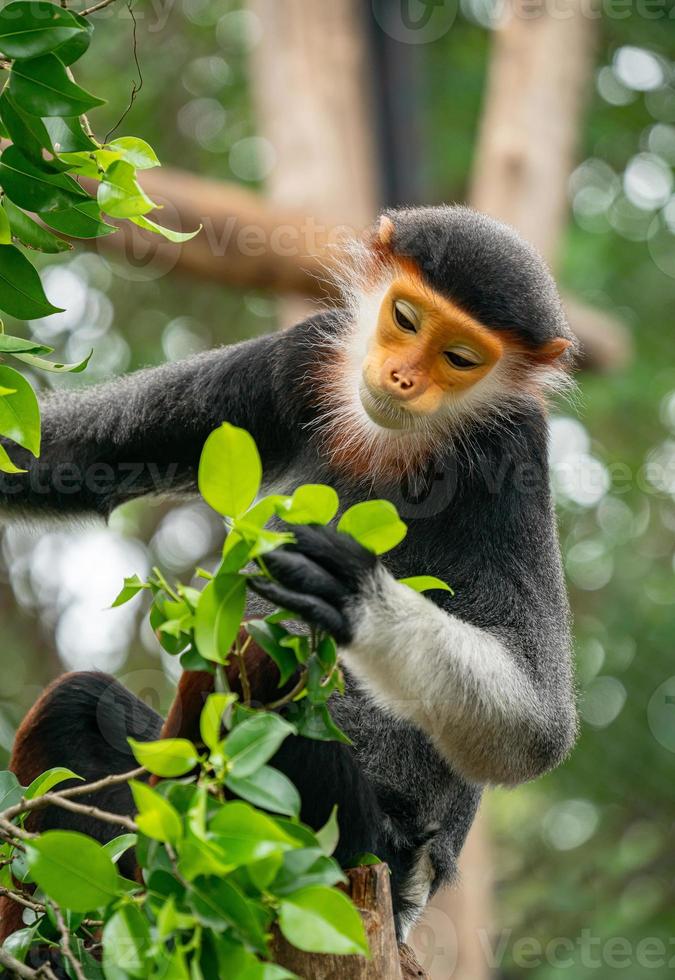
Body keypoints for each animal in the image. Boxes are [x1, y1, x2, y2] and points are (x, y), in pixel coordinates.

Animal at [0, 205, 580, 940]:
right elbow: (71, 457)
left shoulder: (512, 445)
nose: (402, 377)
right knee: (77, 705)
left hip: (346, 843)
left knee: (260, 665)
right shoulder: (305, 352)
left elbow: (538, 727)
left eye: (459, 358)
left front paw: (355, 594)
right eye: (405, 319)